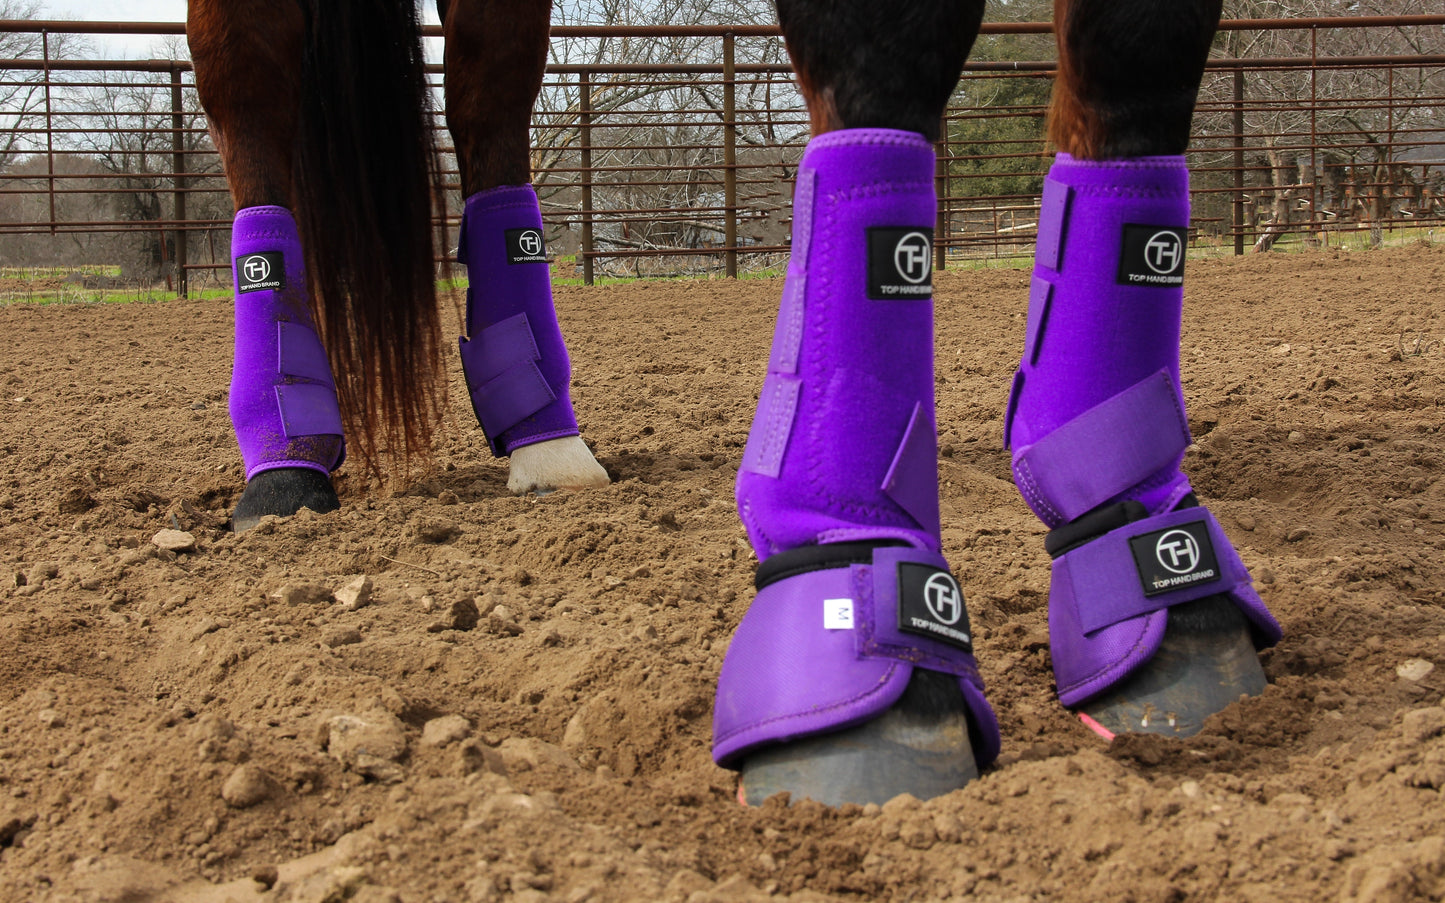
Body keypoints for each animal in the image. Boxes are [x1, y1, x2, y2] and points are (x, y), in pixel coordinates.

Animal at [186, 0, 1283, 809]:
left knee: (489, 102)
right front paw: (857, 605)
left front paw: (1155, 573)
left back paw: (545, 440)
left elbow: (1134, 64)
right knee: (253, 93)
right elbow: (889, 60)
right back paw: (285, 459)